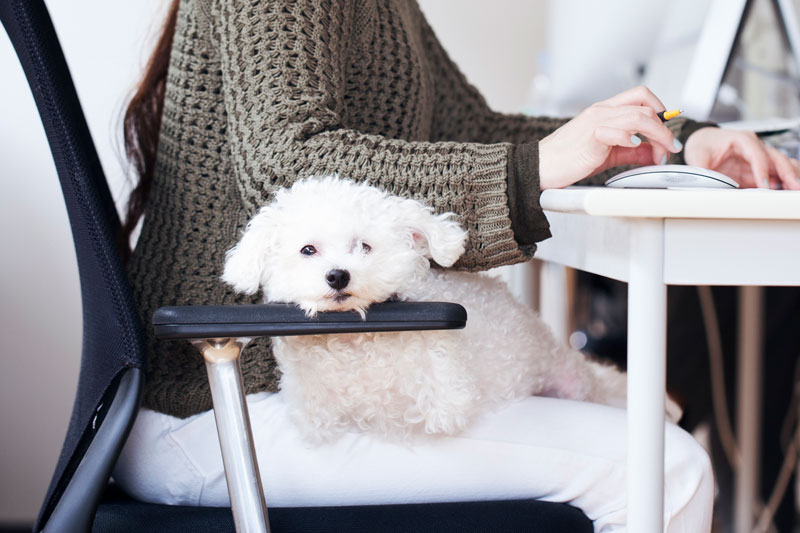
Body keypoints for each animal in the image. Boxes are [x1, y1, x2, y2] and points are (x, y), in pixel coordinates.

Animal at [223, 177, 680, 438]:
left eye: (364, 246)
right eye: (307, 250)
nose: (338, 276)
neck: (358, 335)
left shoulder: (445, 393)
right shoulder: (315, 407)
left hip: (573, 382)